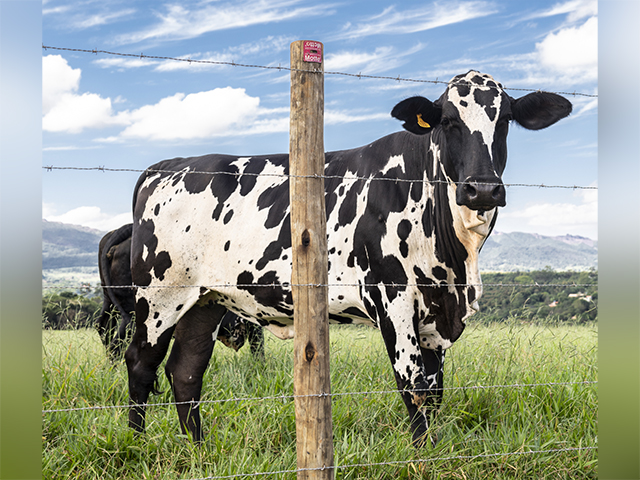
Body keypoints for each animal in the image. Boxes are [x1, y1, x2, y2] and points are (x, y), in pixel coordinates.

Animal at [124, 70, 568, 446]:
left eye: (505, 119)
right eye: (446, 121)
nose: (483, 189)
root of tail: (167, 166)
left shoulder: (437, 315)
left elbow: (435, 390)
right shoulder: (392, 297)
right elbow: (413, 385)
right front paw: (421, 457)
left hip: (206, 300)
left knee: (186, 371)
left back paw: (198, 449)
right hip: (158, 297)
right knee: (141, 364)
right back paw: (137, 443)